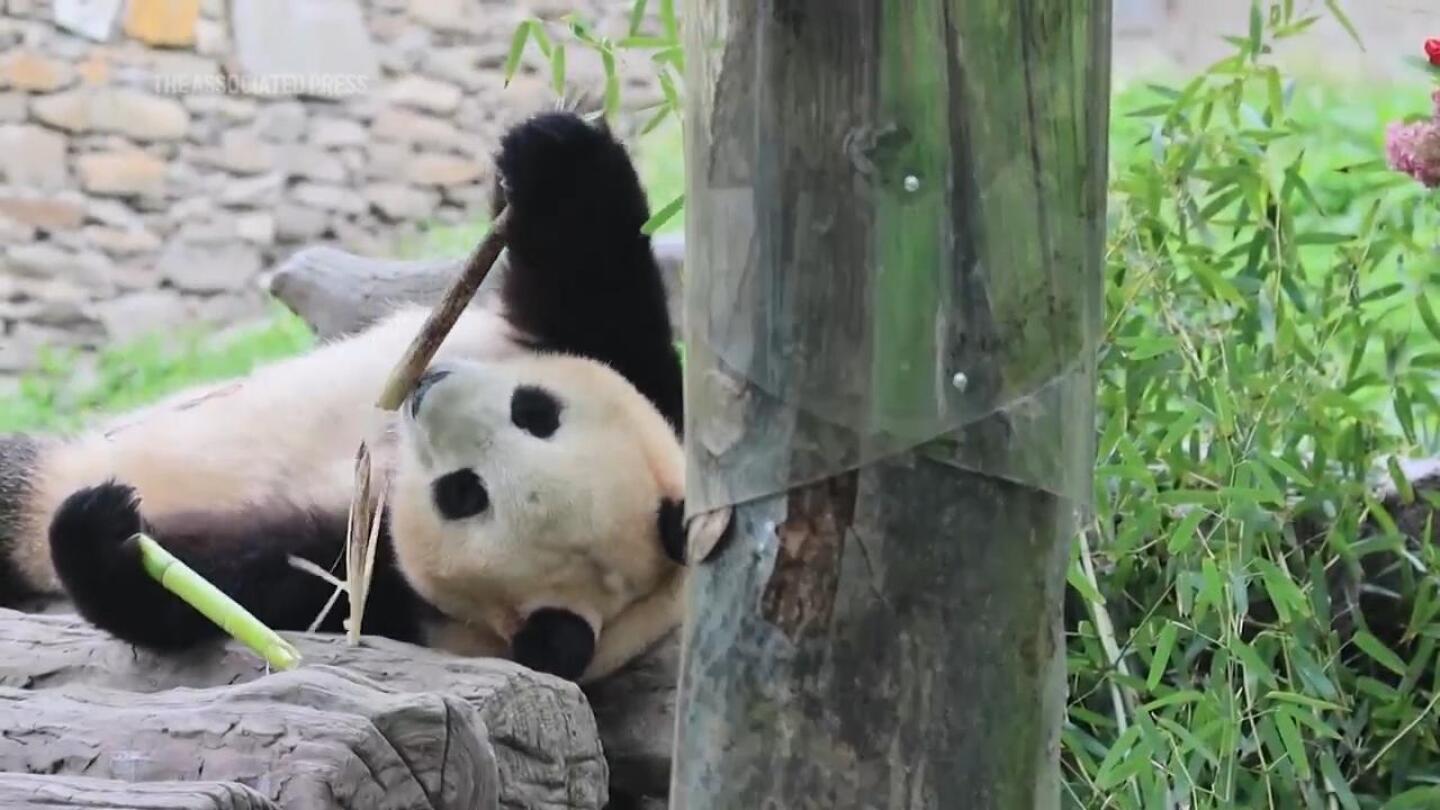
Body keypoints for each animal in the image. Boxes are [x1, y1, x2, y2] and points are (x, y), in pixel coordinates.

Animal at [0, 110, 691, 680]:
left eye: (465, 494)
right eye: (536, 411)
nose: (427, 389)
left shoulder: (389, 595)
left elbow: (238, 588)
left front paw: (109, 538)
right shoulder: (644, 380)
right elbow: (598, 280)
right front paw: (552, 148)